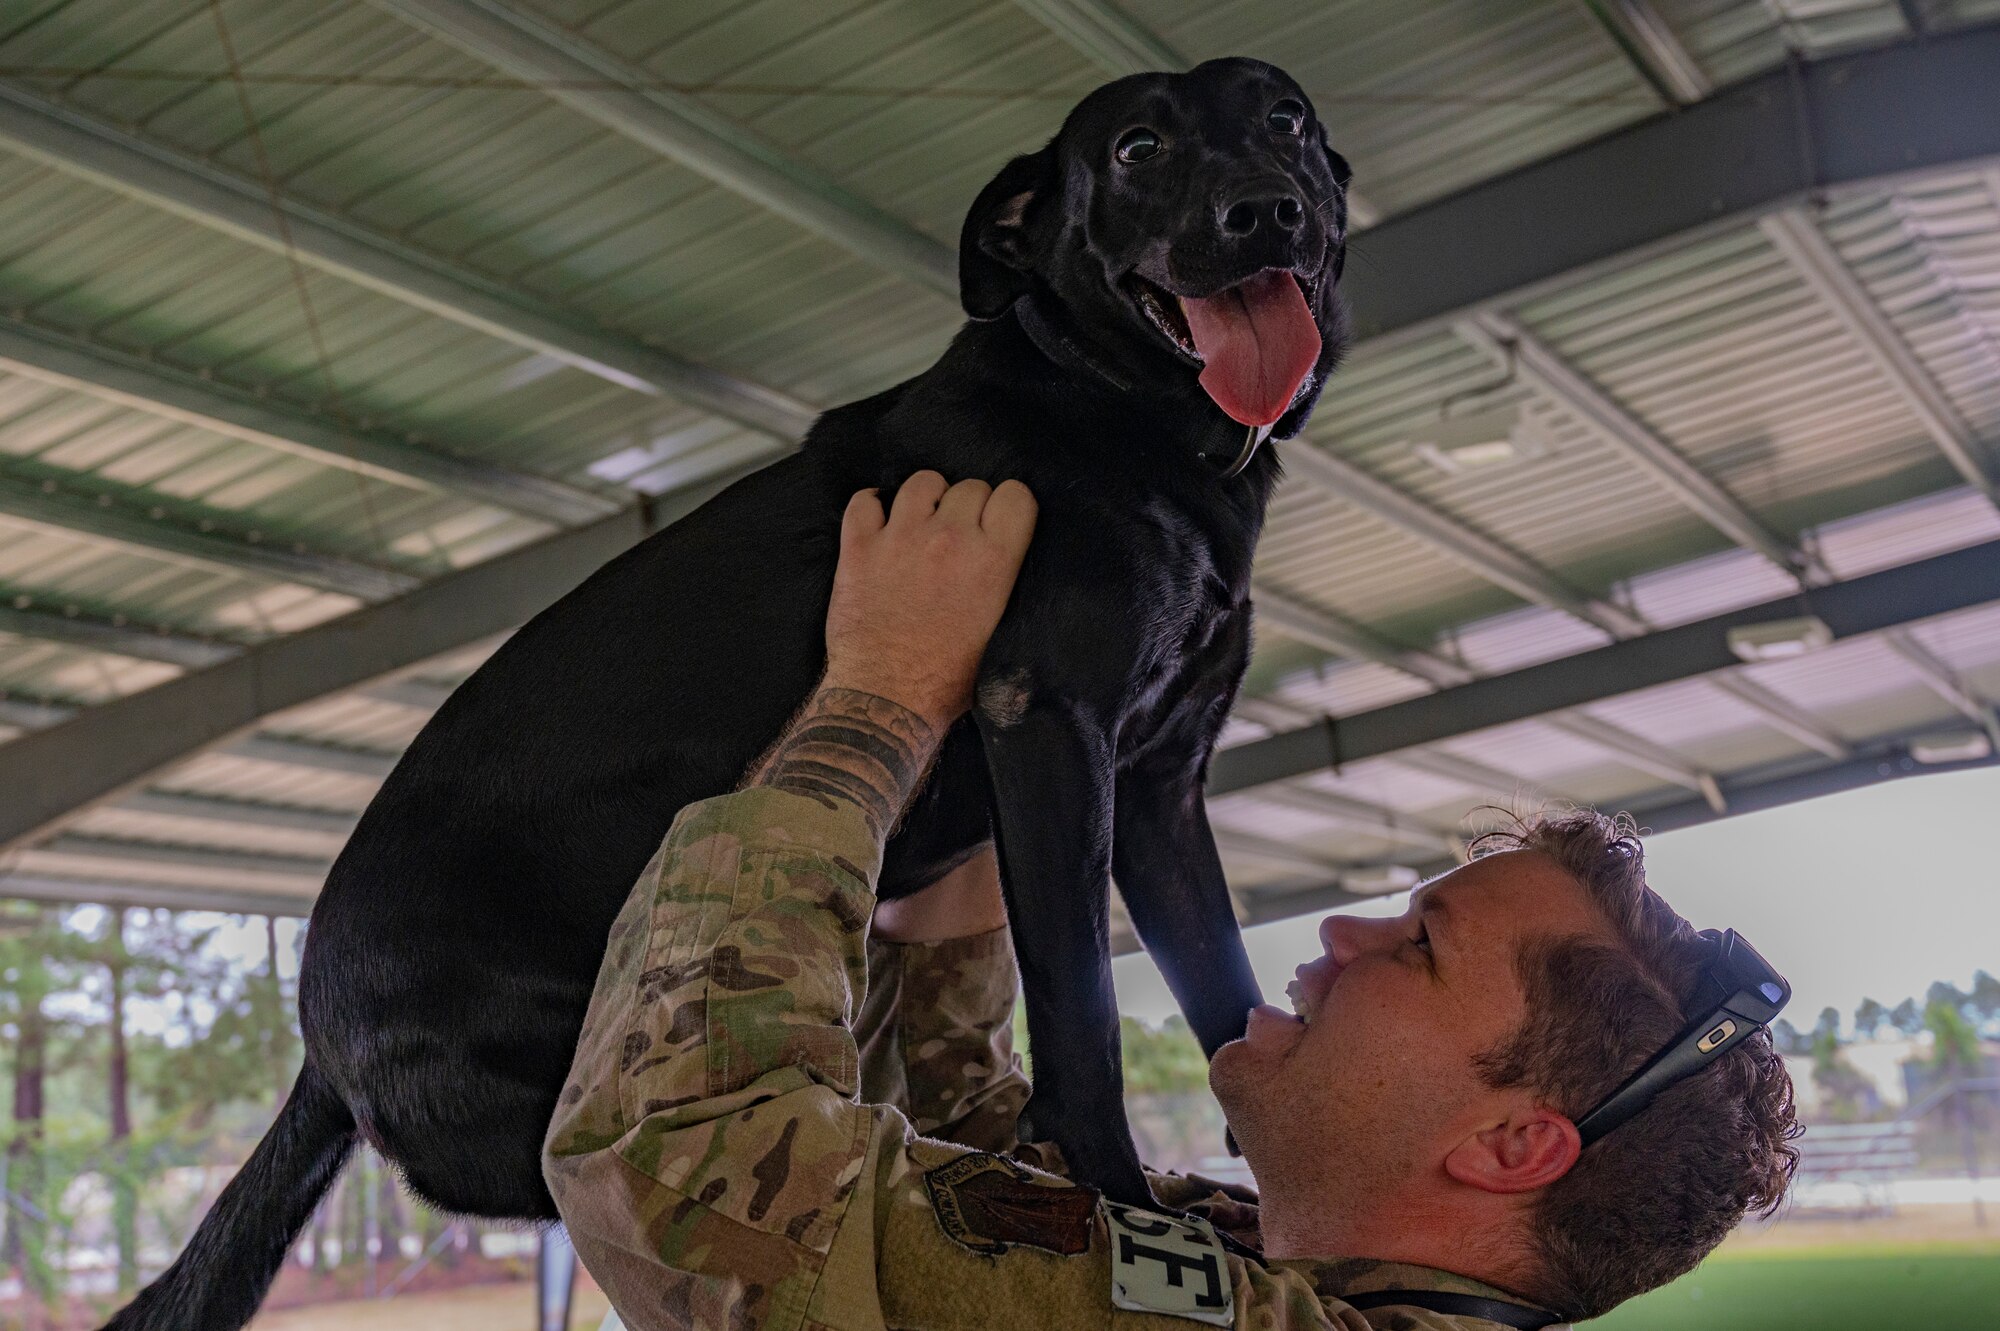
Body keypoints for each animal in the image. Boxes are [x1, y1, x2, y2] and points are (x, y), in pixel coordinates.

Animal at [113, 56, 1360, 1319]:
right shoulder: (1049, 725)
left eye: (1285, 117)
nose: (1262, 210)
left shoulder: (1160, 790)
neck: (1113, 407)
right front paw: (1122, 1201)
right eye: (1135, 149)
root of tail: (317, 1047)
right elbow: (1082, 1015)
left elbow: (1222, 991)